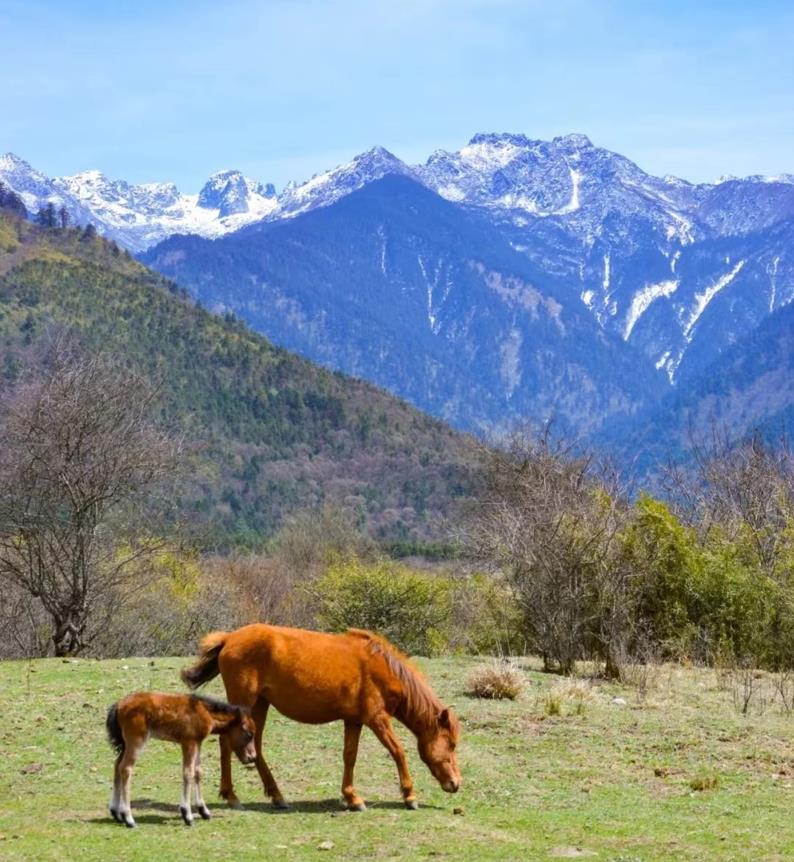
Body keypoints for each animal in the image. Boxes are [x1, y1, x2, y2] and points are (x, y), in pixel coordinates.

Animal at [104, 692, 254, 828]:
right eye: (248, 733)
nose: (252, 757)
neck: (203, 711)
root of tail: (119, 705)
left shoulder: (197, 742)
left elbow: (198, 772)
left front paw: (204, 811)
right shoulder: (189, 742)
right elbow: (188, 773)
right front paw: (187, 815)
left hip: (125, 744)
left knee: (117, 765)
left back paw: (116, 813)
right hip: (136, 741)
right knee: (125, 768)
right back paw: (128, 818)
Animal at [182, 624, 460, 812]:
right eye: (452, 744)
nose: (456, 783)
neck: (382, 667)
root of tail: (229, 638)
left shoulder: (354, 721)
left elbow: (350, 756)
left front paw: (352, 798)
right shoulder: (377, 719)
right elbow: (398, 751)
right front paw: (409, 796)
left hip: (260, 705)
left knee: (255, 745)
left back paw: (277, 796)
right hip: (245, 702)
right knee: (227, 742)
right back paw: (231, 796)